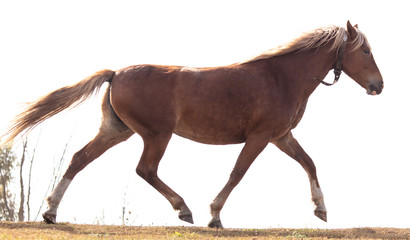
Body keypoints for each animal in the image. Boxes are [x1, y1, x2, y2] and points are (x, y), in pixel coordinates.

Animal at [1, 21, 382, 229]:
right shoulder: (260, 137)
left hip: (117, 131)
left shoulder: (281, 136)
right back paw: (184, 209)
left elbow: (309, 163)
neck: (280, 78)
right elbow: (237, 173)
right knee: (145, 169)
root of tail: (116, 73)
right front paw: (214, 216)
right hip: (157, 134)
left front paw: (321, 210)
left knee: (80, 159)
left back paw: (51, 211)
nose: (378, 85)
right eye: (365, 51)